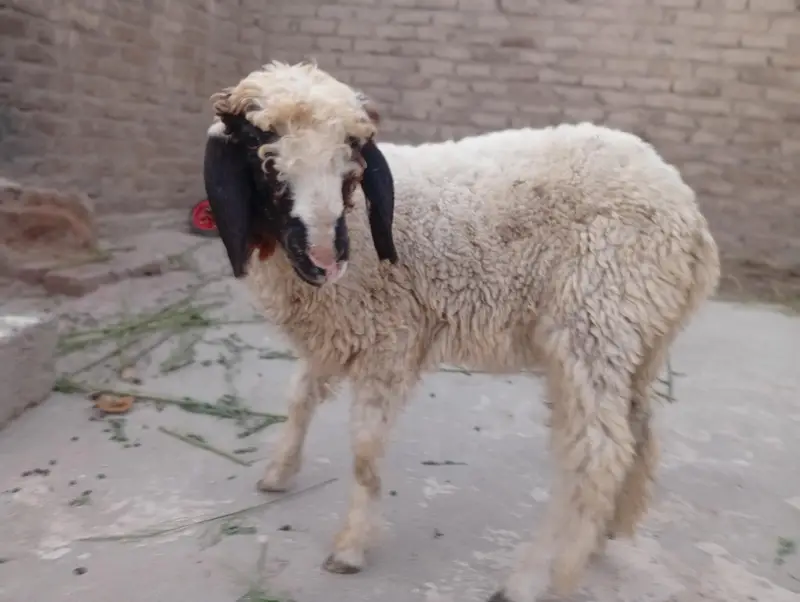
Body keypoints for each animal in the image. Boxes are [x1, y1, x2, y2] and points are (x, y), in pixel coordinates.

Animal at [203, 60, 721, 602]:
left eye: (351, 159)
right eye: (262, 151)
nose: (326, 258)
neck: (361, 226)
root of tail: (690, 218)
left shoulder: (389, 337)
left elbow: (364, 452)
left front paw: (349, 548)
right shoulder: (337, 333)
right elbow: (299, 398)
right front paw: (278, 473)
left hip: (593, 318)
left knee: (595, 457)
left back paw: (538, 577)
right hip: (636, 335)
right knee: (635, 431)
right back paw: (599, 537)